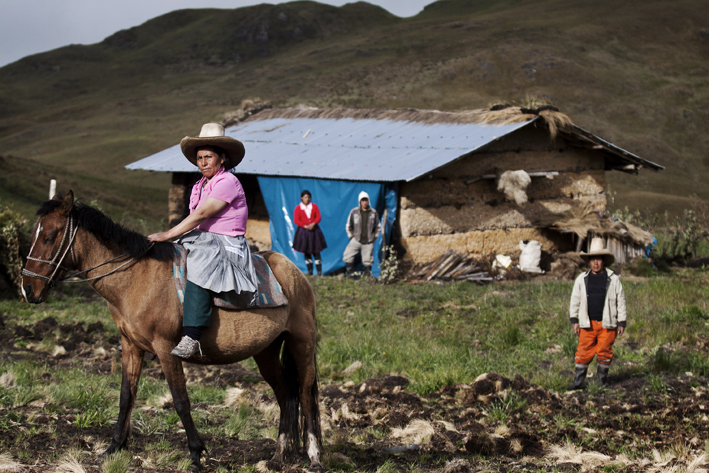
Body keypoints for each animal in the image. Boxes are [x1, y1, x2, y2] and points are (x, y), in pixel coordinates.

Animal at [20, 190, 324, 470]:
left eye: (49, 237)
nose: (27, 289)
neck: (136, 278)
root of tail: (295, 273)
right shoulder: (130, 346)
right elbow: (126, 396)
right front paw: (113, 448)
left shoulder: (166, 349)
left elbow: (180, 401)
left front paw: (196, 454)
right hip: (266, 352)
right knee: (286, 395)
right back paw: (278, 456)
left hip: (301, 344)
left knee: (306, 397)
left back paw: (314, 458)